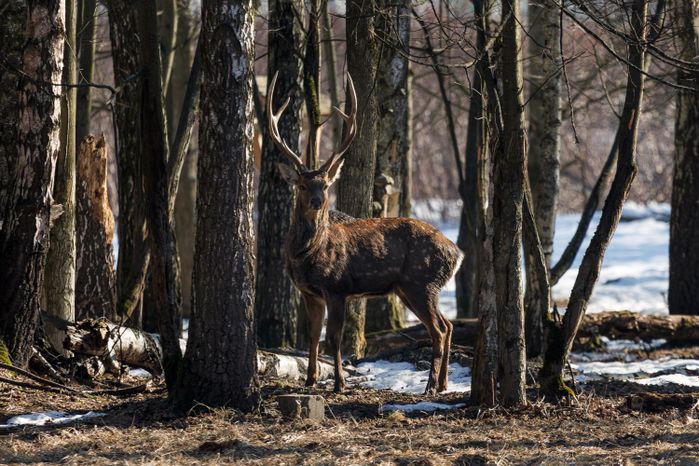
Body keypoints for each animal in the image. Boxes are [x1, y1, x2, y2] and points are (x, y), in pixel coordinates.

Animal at [267, 71, 464, 394]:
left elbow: (333, 337)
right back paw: (443, 383)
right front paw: (310, 380)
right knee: (448, 324)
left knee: (438, 329)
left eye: (326, 185)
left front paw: (339, 383)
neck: (305, 255)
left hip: (421, 282)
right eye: (303, 185)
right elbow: (312, 335)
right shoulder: (309, 292)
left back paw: (430, 386)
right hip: (412, 288)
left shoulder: (336, 286)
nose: (318, 201)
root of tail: (457, 252)